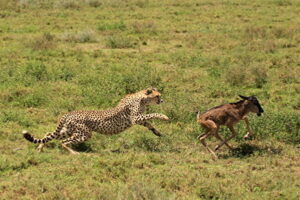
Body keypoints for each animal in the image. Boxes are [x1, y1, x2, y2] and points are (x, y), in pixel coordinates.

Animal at [23, 87, 169, 155]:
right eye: (158, 96)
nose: (162, 100)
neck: (142, 98)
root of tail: (69, 113)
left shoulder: (138, 120)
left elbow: (148, 123)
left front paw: (157, 132)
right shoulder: (134, 118)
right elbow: (152, 115)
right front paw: (164, 116)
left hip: (69, 130)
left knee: (49, 134)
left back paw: (40, 148)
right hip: (85, 133)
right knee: (63, 142)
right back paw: (74, 153)